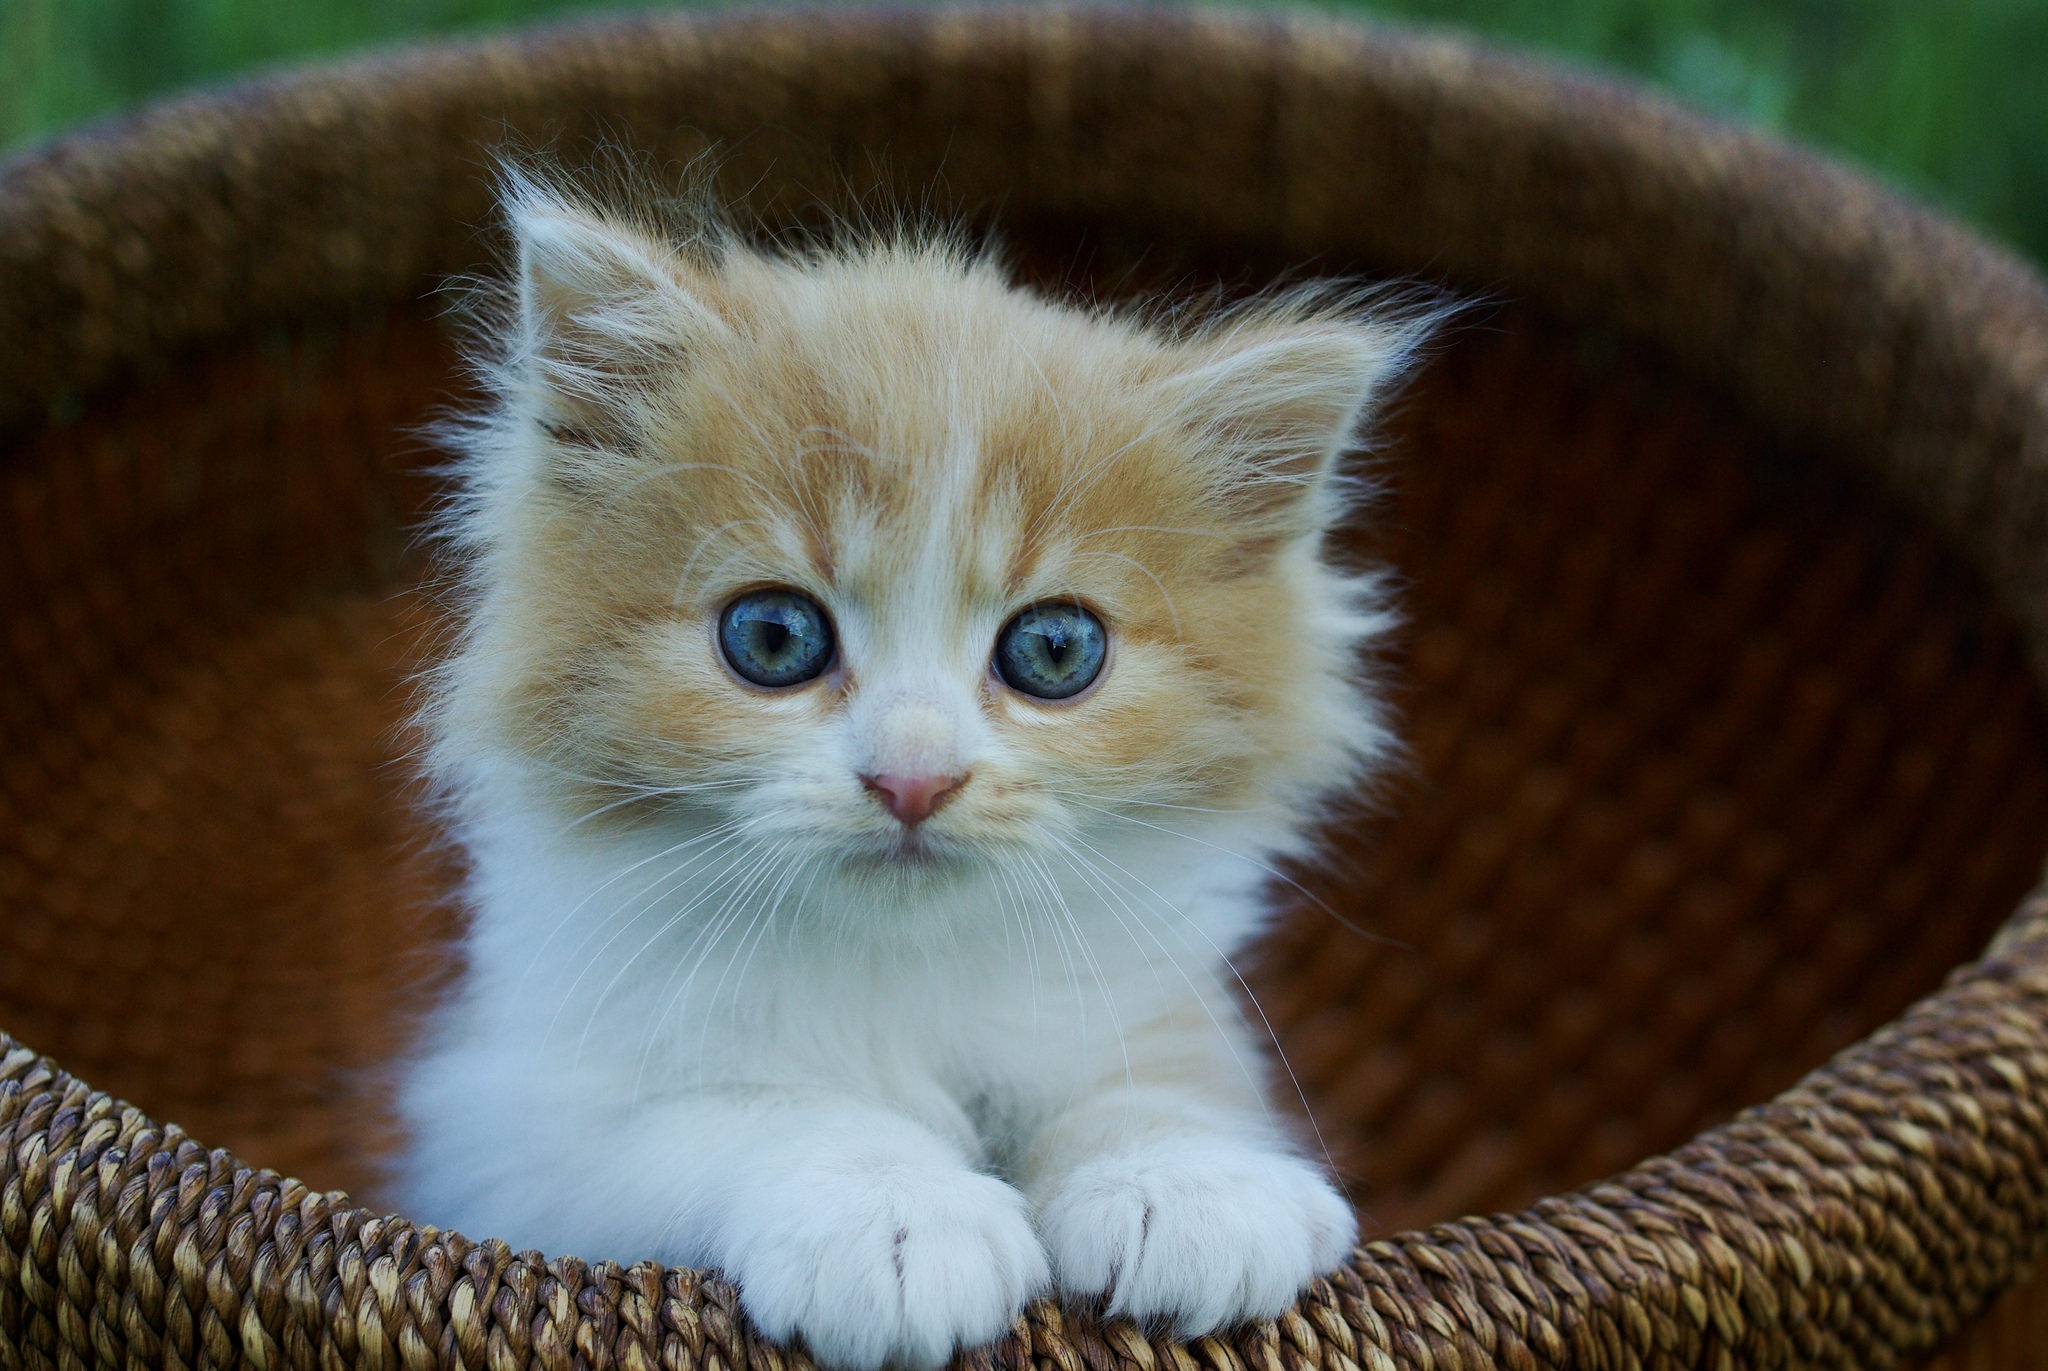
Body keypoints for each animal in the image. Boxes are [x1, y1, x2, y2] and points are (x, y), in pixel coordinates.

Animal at [399, 171, 1441, 1368]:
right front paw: (892, 1210)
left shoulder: (1142, 996)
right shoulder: (508, 1122)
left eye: (1053, 651)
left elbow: (1151, 1082)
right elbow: (753, 1110)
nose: (913, 779)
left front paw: (1185, 1183)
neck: (899, 977)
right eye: (772, 637)